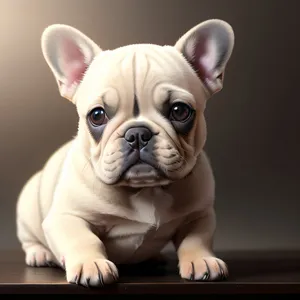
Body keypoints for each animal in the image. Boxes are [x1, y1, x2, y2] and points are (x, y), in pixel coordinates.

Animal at [16, 19, 236, 288]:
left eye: (179, 111)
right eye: (97, 115)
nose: (138, 133)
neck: (144, 189)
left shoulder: (199, 214)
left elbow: (196, 239)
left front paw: (202, 260)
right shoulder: (66, 217)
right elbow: (84, 239)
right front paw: (91, 264)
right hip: (28, 204)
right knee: (30, 238)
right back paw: (40, 253)